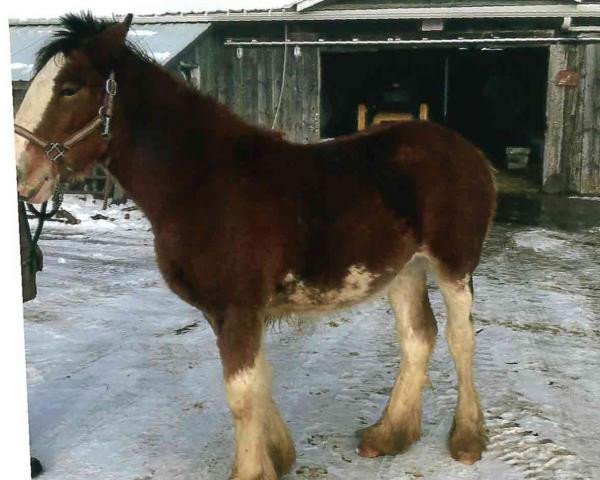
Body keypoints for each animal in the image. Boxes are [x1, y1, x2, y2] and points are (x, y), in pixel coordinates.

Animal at [15, 13, 496, 478]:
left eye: (69, 88)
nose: (22, 175)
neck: (203, 184)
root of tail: (467, 150)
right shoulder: (226, 311)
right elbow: (258, 381)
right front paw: (278, 456)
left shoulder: (239, 308)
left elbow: (241, 393)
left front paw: (252, 470)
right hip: (405, 269)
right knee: (417, 337)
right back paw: (388, 435)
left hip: (454, 265)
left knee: (460, 337)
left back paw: (467, 440)